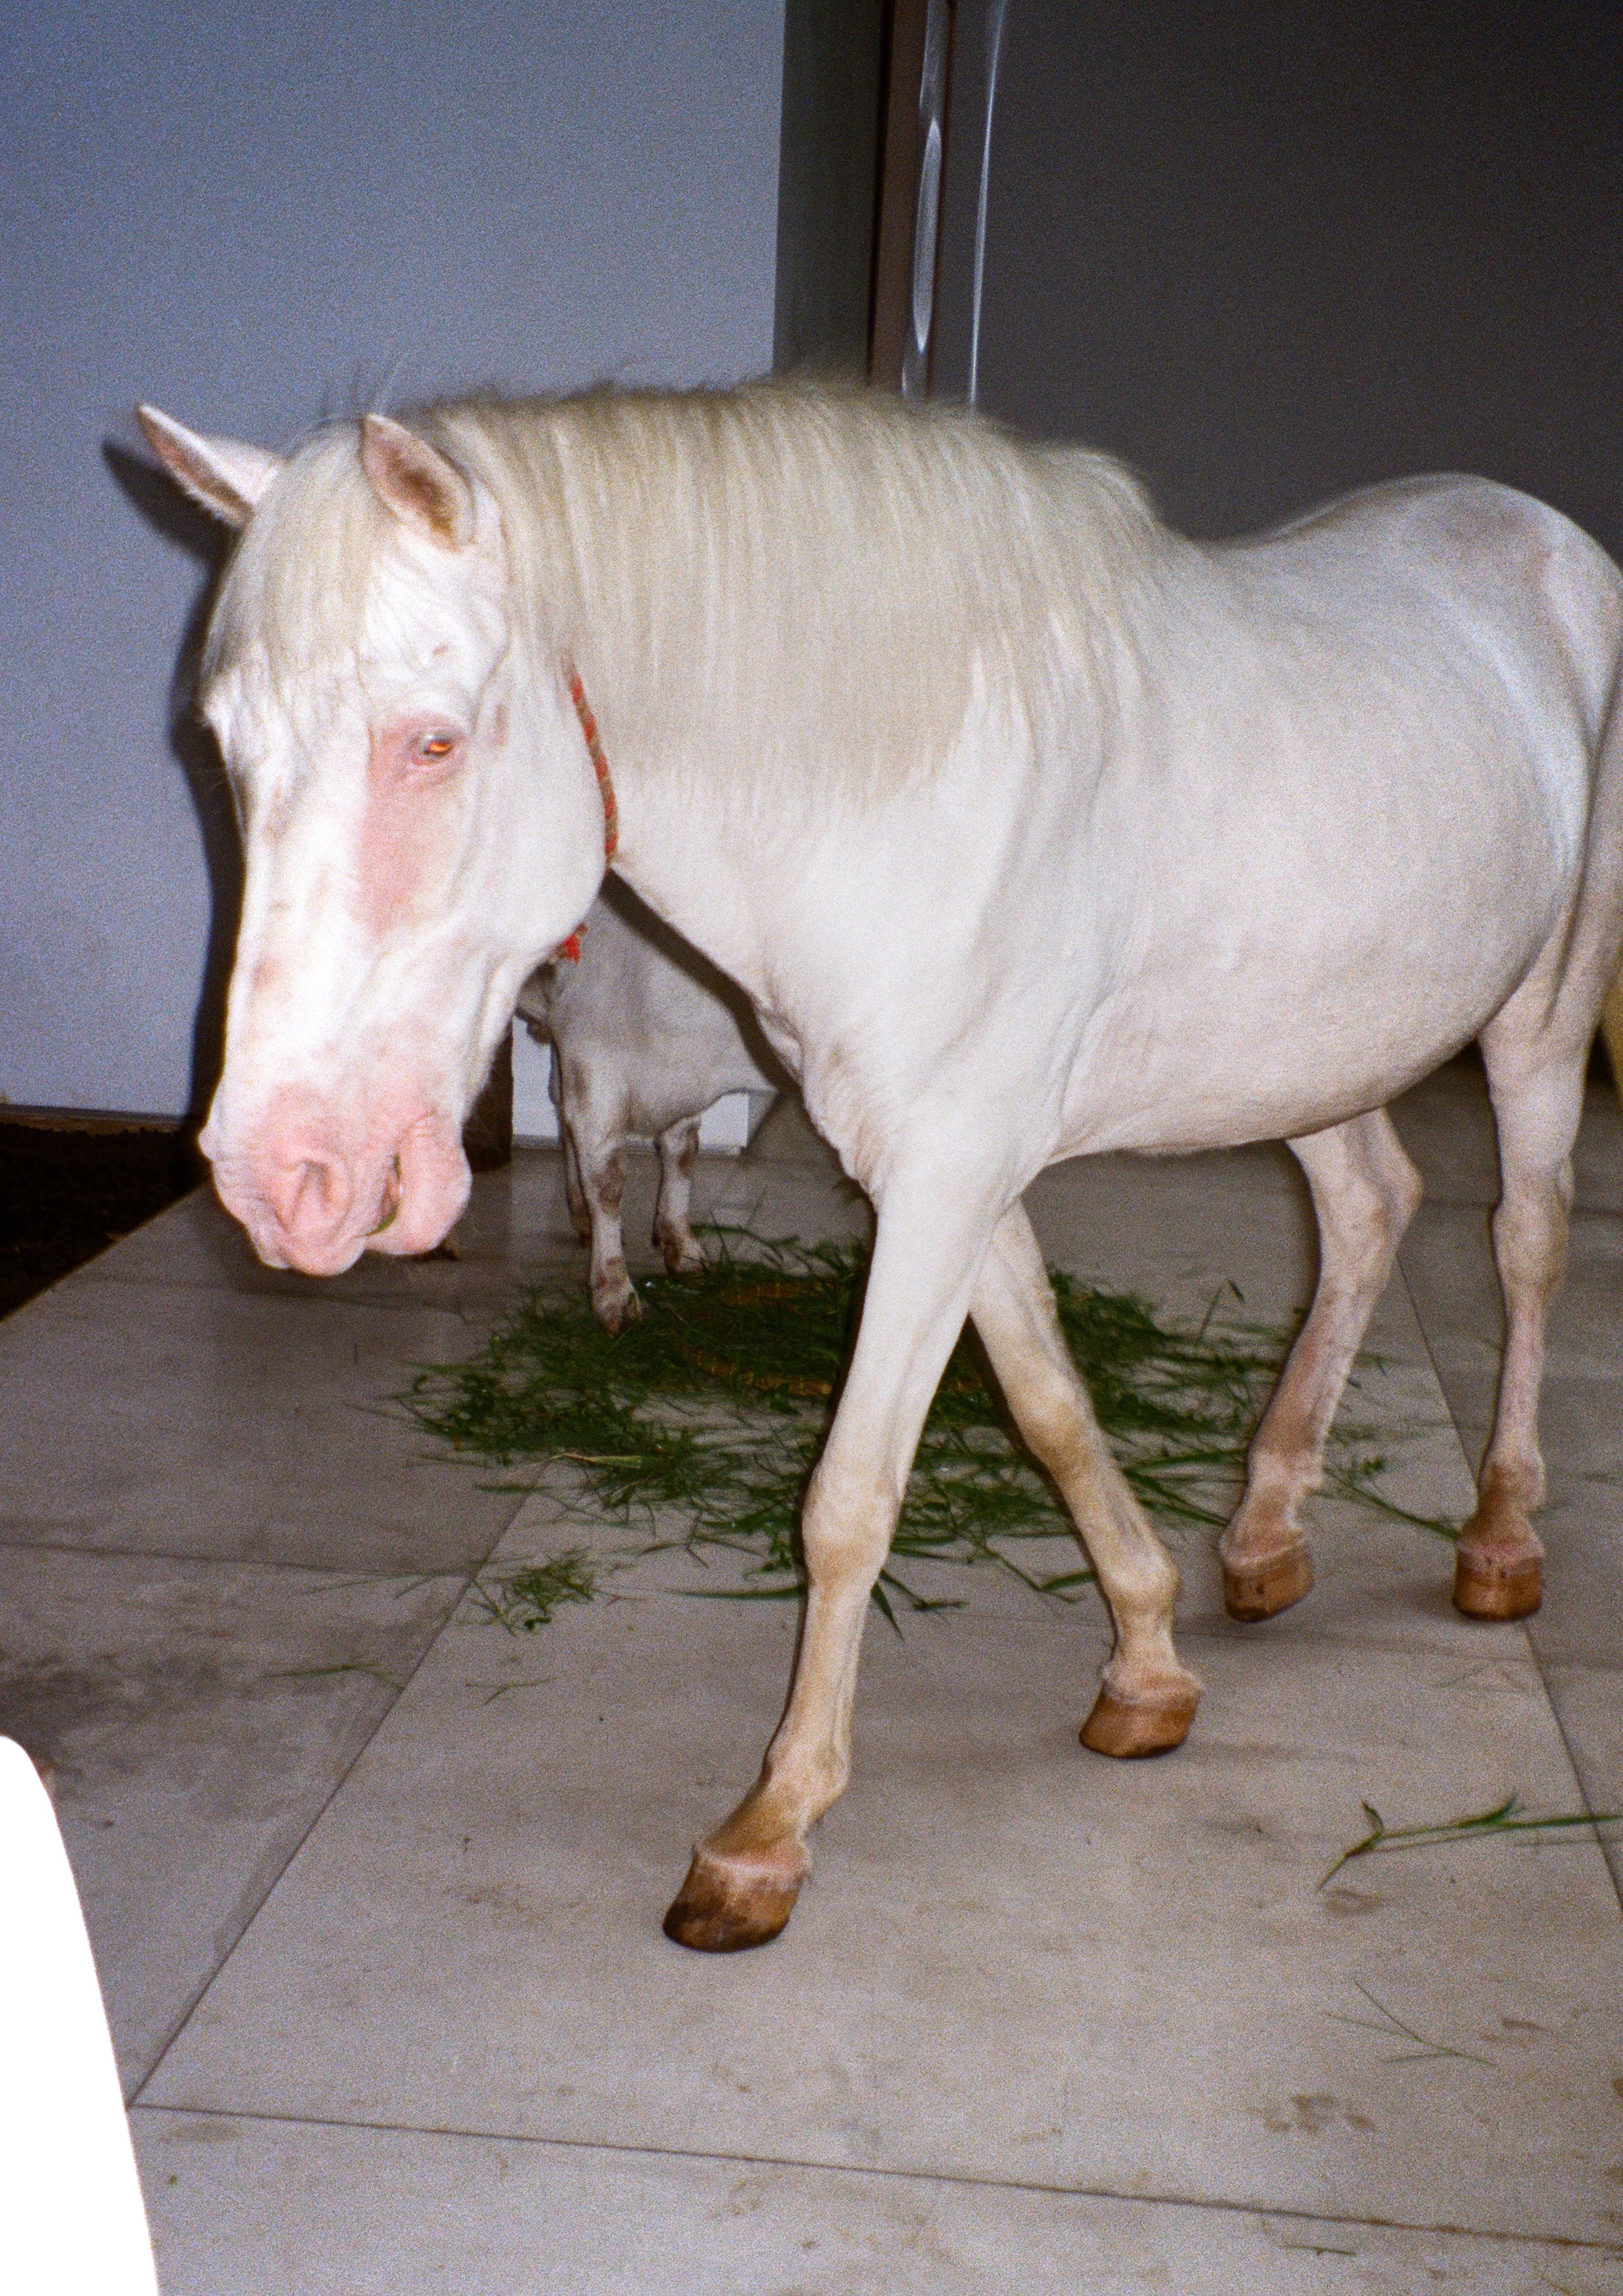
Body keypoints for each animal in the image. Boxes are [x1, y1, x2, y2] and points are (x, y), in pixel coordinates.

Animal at [515, 877, 780, 1330]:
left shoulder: (683, 1082)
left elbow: (680, 1155)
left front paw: (682, 1247)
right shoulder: (594, 1063)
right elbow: (607, 1182)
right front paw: (614, 1295)